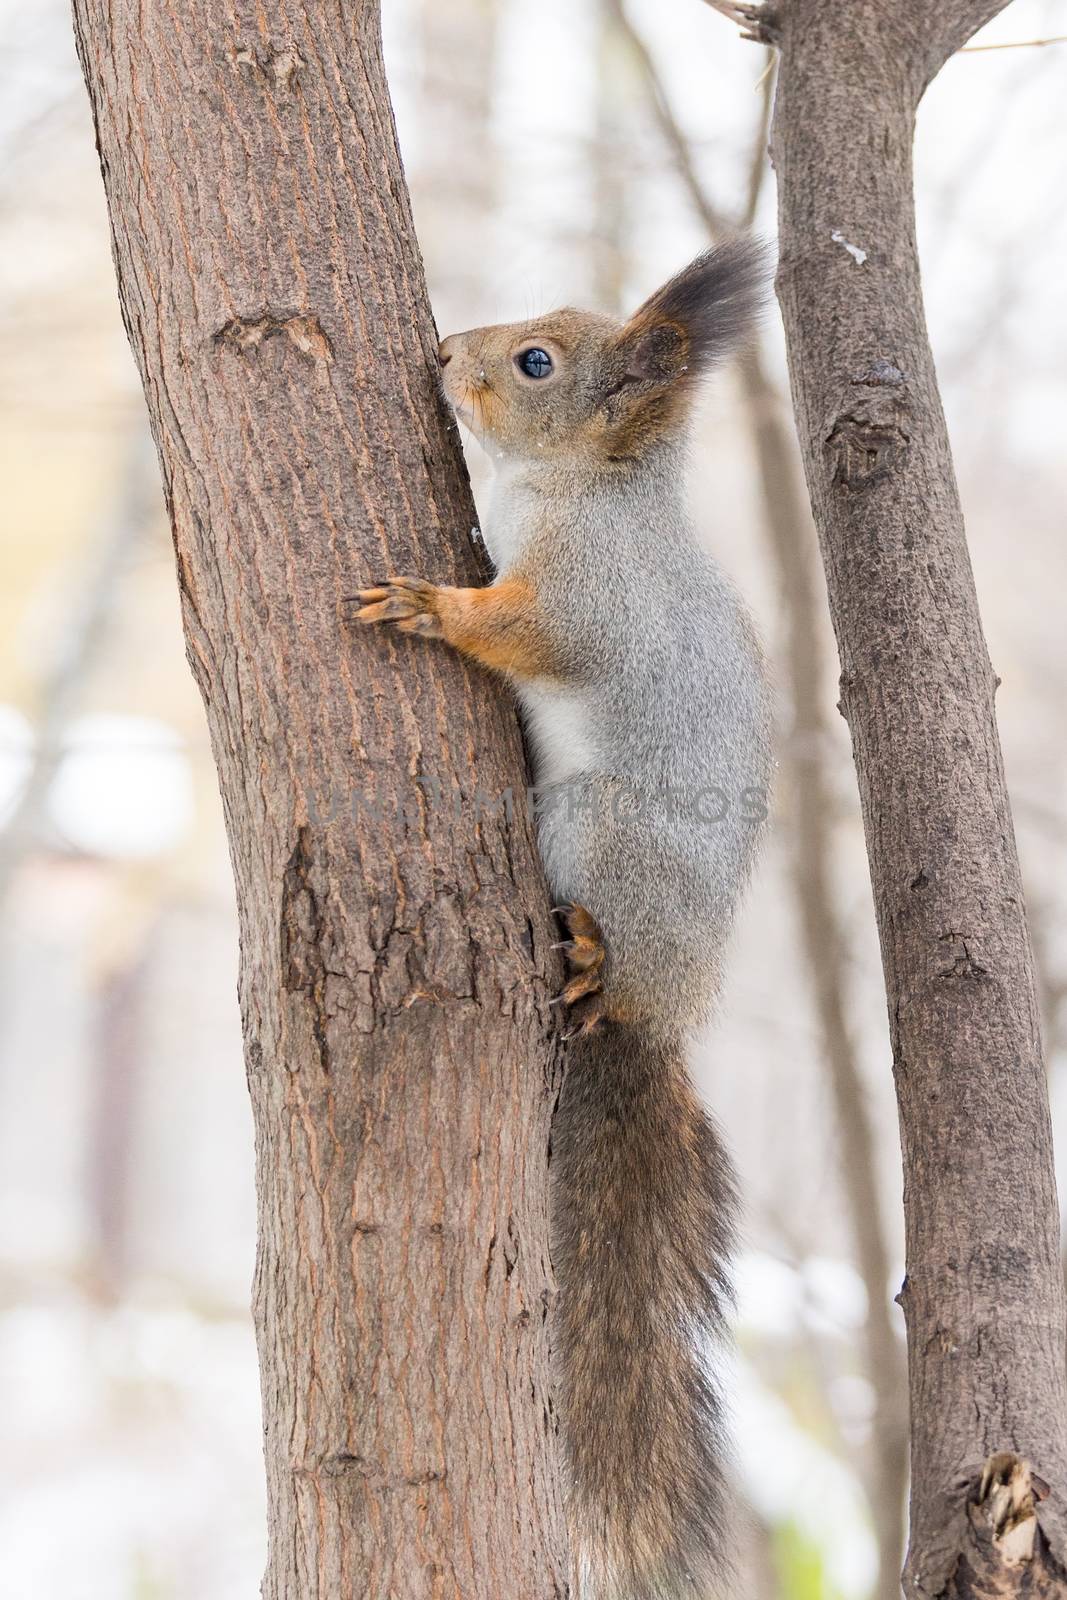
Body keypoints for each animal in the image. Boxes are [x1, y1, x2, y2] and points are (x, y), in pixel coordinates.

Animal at [355, 240, 771, 1600]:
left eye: (535, 361)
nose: (446, 351)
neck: (592, 489)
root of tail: (658, 1009)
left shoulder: (589, 596)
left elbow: (525, 627)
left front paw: (430, 606)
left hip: (600, 833)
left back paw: (588, 952)